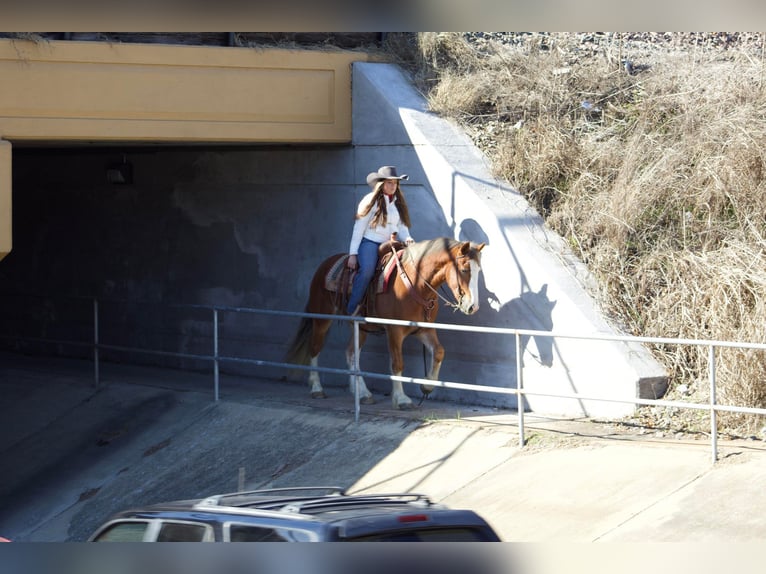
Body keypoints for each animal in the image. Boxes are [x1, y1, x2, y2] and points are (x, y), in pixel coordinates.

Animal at [284, 238, 488, 410]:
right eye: (464, 269)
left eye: (479, 271)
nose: (473, 307)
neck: (416, 283)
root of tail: (325, 264)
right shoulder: (394, 331)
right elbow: (397, 363)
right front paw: (401, 399)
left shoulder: (423, 329)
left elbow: (439, 352)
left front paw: (427, 386)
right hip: (322, 318)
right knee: (315, 347)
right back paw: (317, 388)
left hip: (359, 327)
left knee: (351, 353)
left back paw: (362, 393)